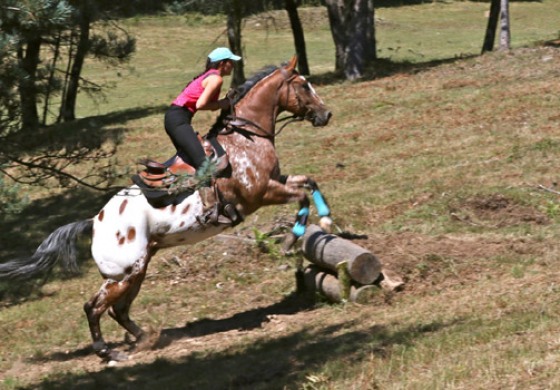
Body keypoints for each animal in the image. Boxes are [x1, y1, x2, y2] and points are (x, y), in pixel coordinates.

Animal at [0, 55, 332, 362]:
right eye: (304, 85)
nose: (326, 114)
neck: (246, 137)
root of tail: (94, 221)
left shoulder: (276, 181)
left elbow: (310, 183)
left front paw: (327, 223)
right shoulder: (259, 193)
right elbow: (301, 197)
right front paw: (291, 239)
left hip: (138, 269)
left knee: (118, 310)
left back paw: (146, 337)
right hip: (122, 273)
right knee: (94, 307)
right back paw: (108, 352)